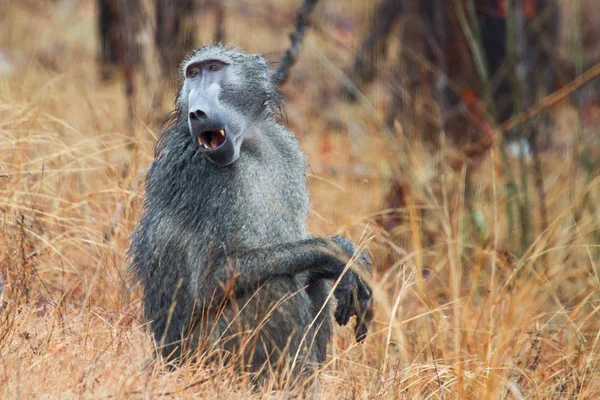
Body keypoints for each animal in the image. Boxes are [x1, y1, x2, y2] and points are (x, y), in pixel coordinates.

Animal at [129, 45, 372, 386]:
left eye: (214, 68)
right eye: (193, 74)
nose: (197, 112)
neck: (249, 144)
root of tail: (165, 356)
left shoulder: (285, 151)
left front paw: (346, 263)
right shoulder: (201, 172)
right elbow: (213, 276)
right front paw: (339, 253)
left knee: (310, 279)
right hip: (204, 354)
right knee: (273, 283)